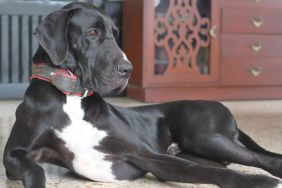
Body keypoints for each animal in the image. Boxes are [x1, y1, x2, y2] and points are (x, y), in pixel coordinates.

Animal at [3, 2, 282, 188]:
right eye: (92, 33)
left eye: (115, 35)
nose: (128, 69)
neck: (71, 97)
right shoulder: (14, 153)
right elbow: (35, 170)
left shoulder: (146, 155)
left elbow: (198, 170)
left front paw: (256, 181)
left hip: (205, 137)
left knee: (260, 158)